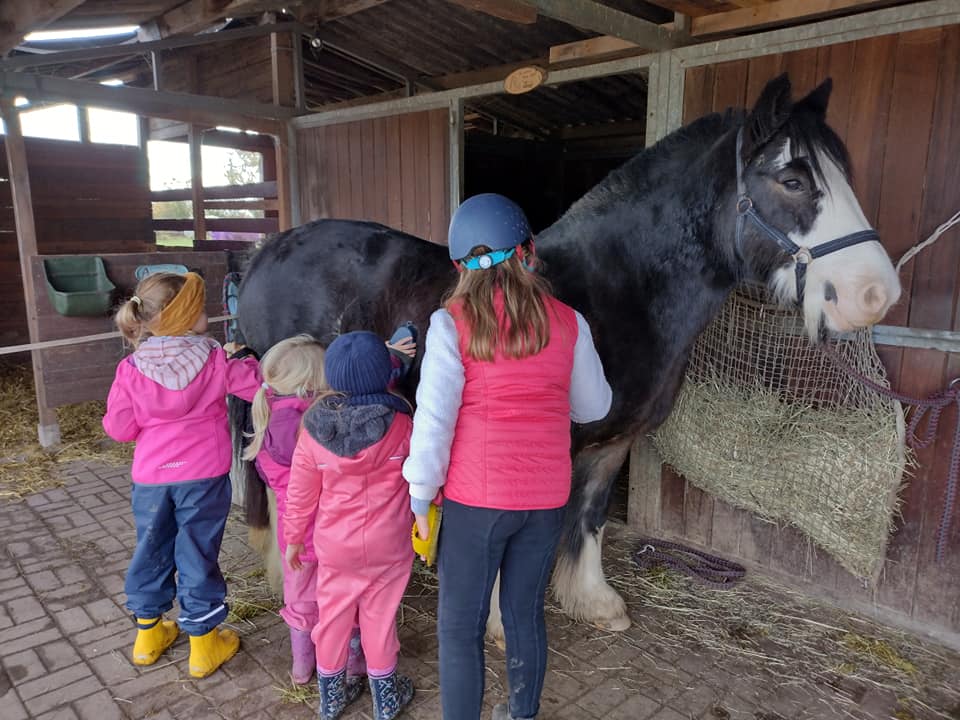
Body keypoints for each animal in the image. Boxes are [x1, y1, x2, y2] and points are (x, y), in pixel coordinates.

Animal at [231, 73, 900, 632]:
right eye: (792, 180)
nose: (876, 294)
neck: (619, 287)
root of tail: (266, 250)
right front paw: (499, 625)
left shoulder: (612, 445)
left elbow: (590, 518)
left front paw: (593, 601)